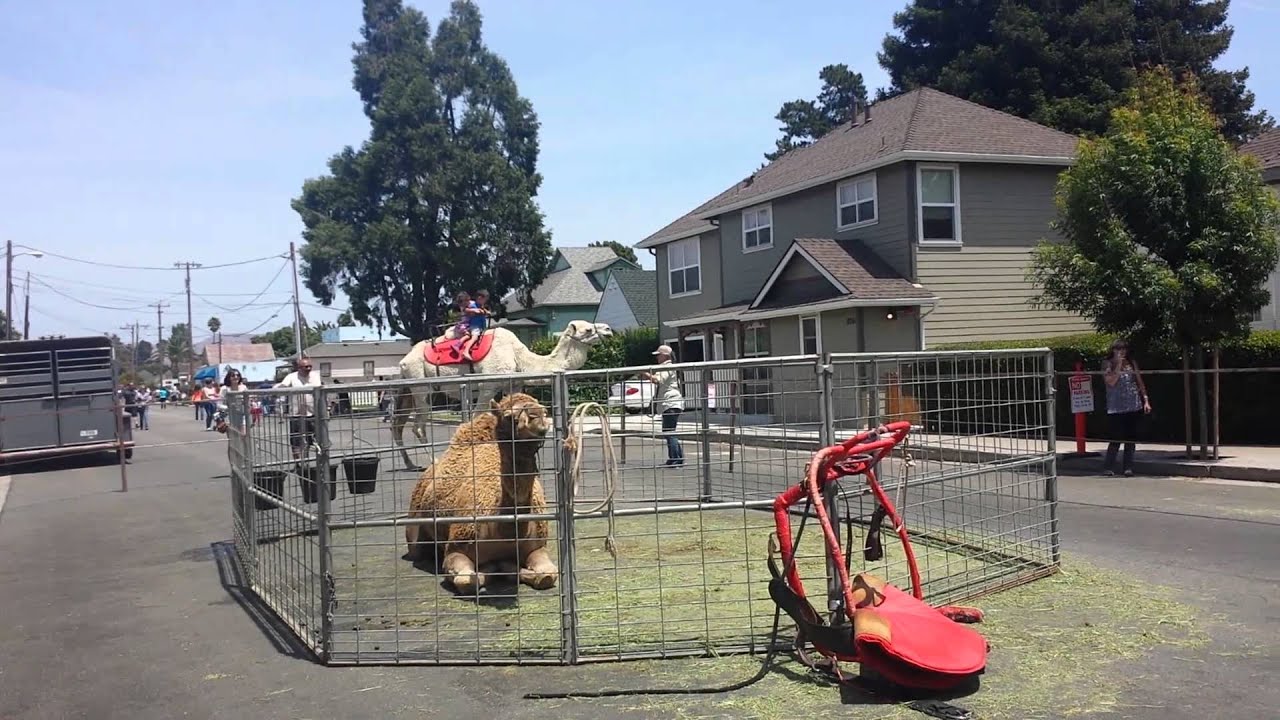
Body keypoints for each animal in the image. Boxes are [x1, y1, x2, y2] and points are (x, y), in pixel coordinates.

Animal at [392, 319, 611, 469]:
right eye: (588, 329)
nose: (608, 329)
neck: (519, 358)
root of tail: (403, 361)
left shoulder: (512, 385)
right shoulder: (488, 385)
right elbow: (476, 417)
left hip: (409, 390)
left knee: (398, 425)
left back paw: (411, 464)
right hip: (421, 387)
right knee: (418, 427)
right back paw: (434, 461)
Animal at [403, 392, 558, 594]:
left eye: (545, 411)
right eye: (509, 416)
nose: (538, 415)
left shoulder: (537, 546)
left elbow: (547, 575)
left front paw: (510, 567)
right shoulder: (457, 548)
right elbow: (467, 581)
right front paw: (495, 568)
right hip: (415, 526)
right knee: (417, 550)